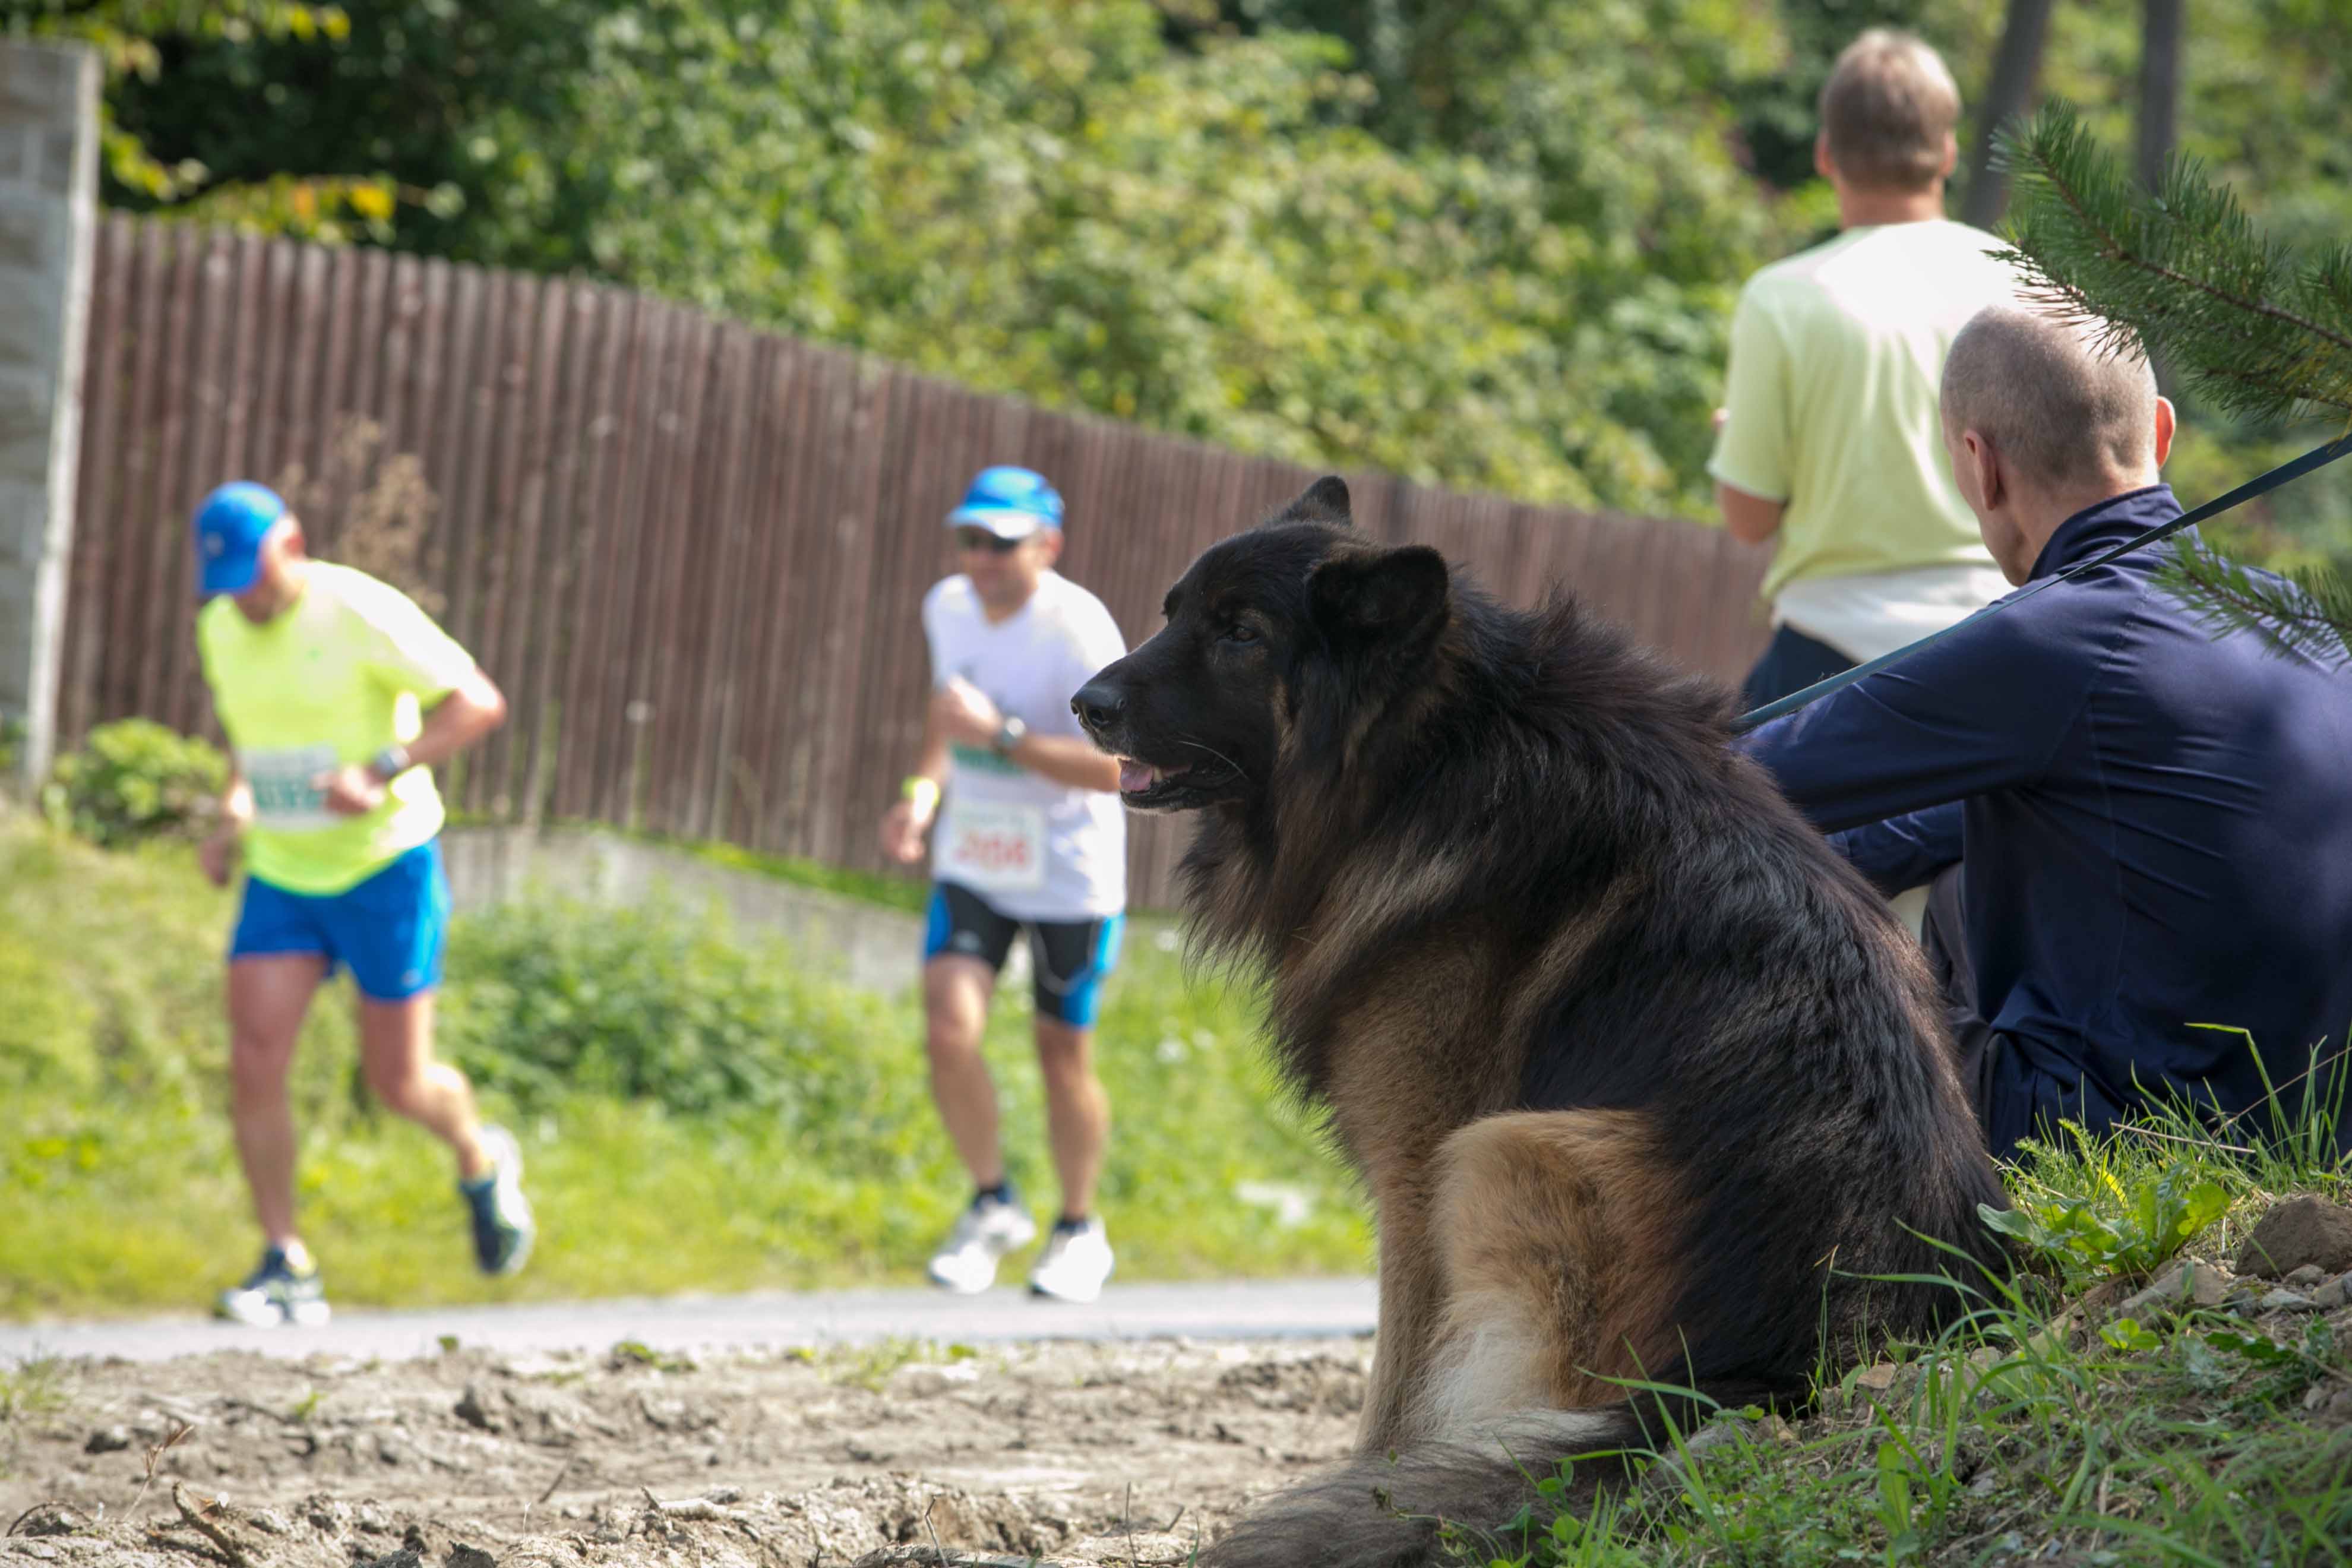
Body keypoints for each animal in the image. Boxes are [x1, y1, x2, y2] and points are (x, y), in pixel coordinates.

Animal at [1071, 477, 2011, 1566]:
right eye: (1175, 611)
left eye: (1241, 633)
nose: (1083, 704)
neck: (1427, 753)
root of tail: (1794, 1369)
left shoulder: (1418, 1174)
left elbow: (1398, 1391)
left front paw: (1380, 1485)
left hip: (1513, 1150)